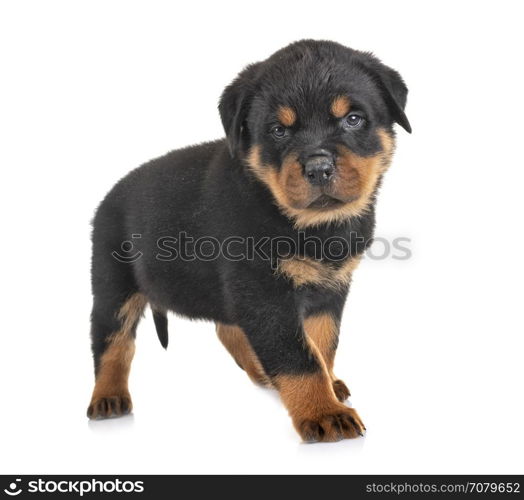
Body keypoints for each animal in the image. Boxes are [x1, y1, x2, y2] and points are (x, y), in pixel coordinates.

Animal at [88, 41, 412, 444]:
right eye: (278, 130)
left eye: (353, 119)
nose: (318, 168)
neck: (310, 226)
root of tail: (109, 195)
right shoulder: (263, 291)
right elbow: (297, 356)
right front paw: (324, 413)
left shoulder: (329, 289)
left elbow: (322, 343)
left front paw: (328, 386)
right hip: (112, 282)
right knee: (112, 342)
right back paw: (107, 397)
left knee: (226, 326)